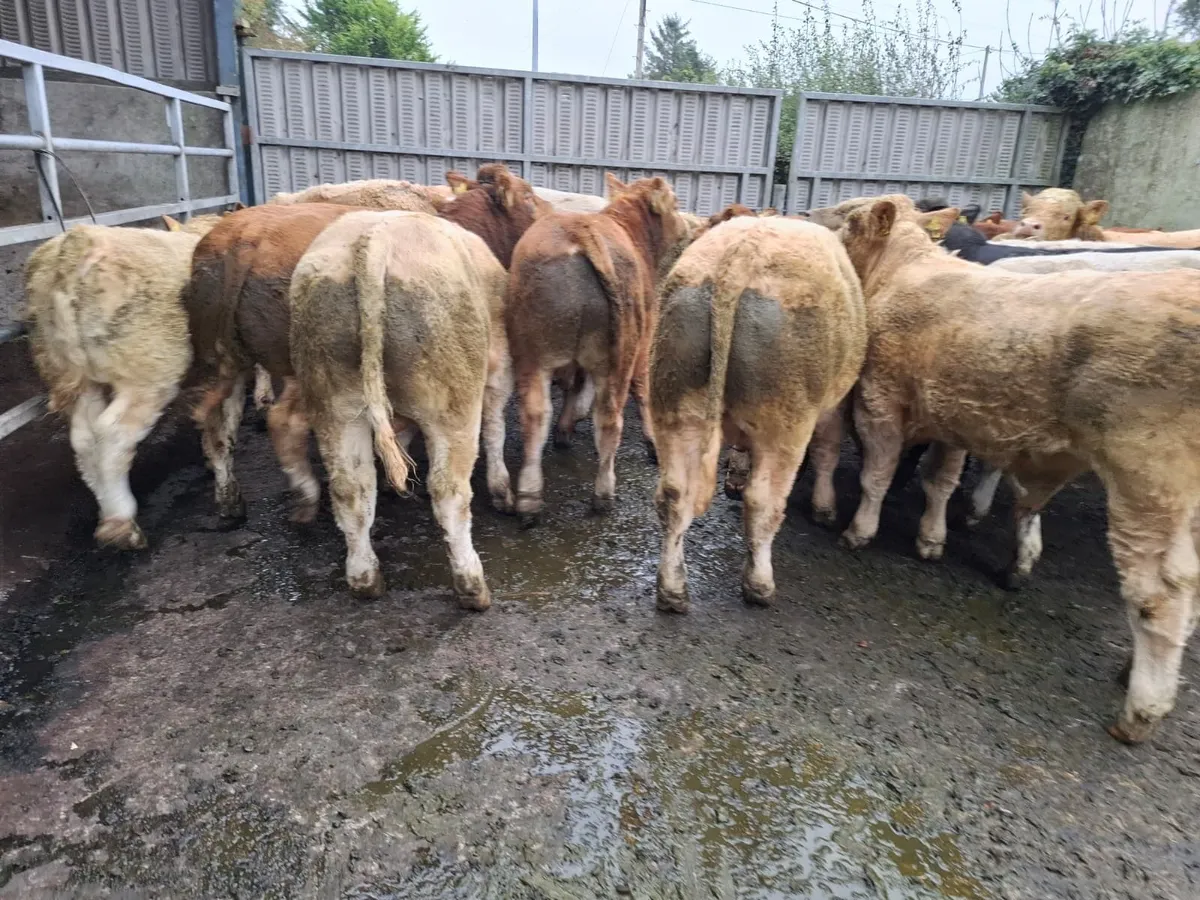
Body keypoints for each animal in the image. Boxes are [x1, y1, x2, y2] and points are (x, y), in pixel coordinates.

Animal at [23, 214, 224, 549]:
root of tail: (75, 248)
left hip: (71, 369)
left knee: (84, 437)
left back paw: (107, 508)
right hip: (146, 369)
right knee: (112, 434)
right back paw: (120, 521)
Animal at [290, 211, 504, 608]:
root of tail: (375, 239)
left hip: (333, 404)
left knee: (351, 488)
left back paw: (365, 580)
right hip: (453, 402)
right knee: (449, 491)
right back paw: (471, 587)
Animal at [505, 174, 692, 524]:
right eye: (674, 202)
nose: (686, 226)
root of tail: (580, 230)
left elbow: (575, 387)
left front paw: (565, 429)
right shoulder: (645, 339)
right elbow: (642, 389)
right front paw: (651, 442)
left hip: (533, 350)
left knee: (535, 415)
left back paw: (529, 499)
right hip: (623, 351)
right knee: (610, 419)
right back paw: (604, 493)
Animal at [651, 215, 867, 612]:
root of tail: (739, 259)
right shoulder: (835, 405)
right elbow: (827, 450)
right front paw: (824, 508)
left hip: (675, 398)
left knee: (674, 495)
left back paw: (672, 591)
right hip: (785, 418)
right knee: (763, 503)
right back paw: (759, 585)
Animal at [837, 197, 1200, 744]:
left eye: (847, 220)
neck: (902, 272)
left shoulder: (880, 398)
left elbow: (877, 475)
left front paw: (861, 531)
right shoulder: (950, 415)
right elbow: (940, 481)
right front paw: (931, 539)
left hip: (1149, 482)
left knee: (1159, 595)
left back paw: (1142, 709)